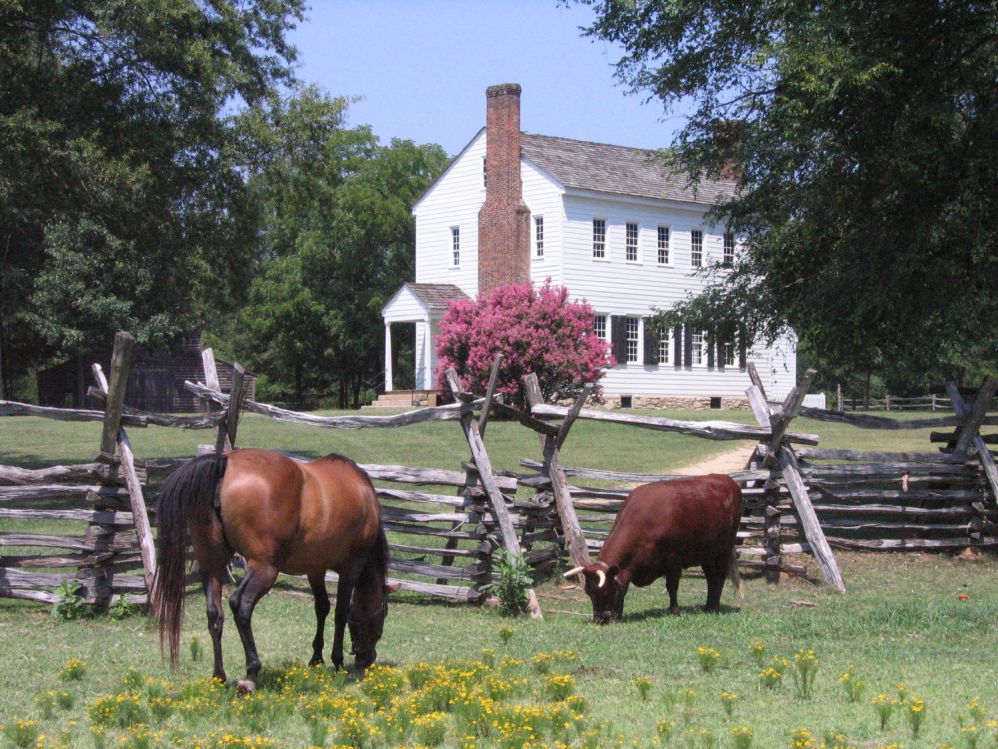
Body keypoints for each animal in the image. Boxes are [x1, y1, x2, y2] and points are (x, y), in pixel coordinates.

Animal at [150, 444, 396, 688]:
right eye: (383, 615)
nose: (368, 660)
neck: (362, 494)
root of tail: (224, 463)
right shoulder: (352, 566)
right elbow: (341, 611)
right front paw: (337, 662)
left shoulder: (315, 568)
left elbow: (322, 607)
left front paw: (316, 659)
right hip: (265, 569)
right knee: (241, 605)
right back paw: (251, 672)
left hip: (213, 566)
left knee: (214, 614)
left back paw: (219, 675)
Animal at [564, 476, 744, 624]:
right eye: (589, 593)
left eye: (606, 591)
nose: (600, 619)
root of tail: (727, 480)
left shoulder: (673, 560)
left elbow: (672, 586)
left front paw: (674, 611)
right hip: (707, 554)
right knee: (711, 578)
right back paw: (708, 607)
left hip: (723, 550)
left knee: (718, 577)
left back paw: (713, 608)